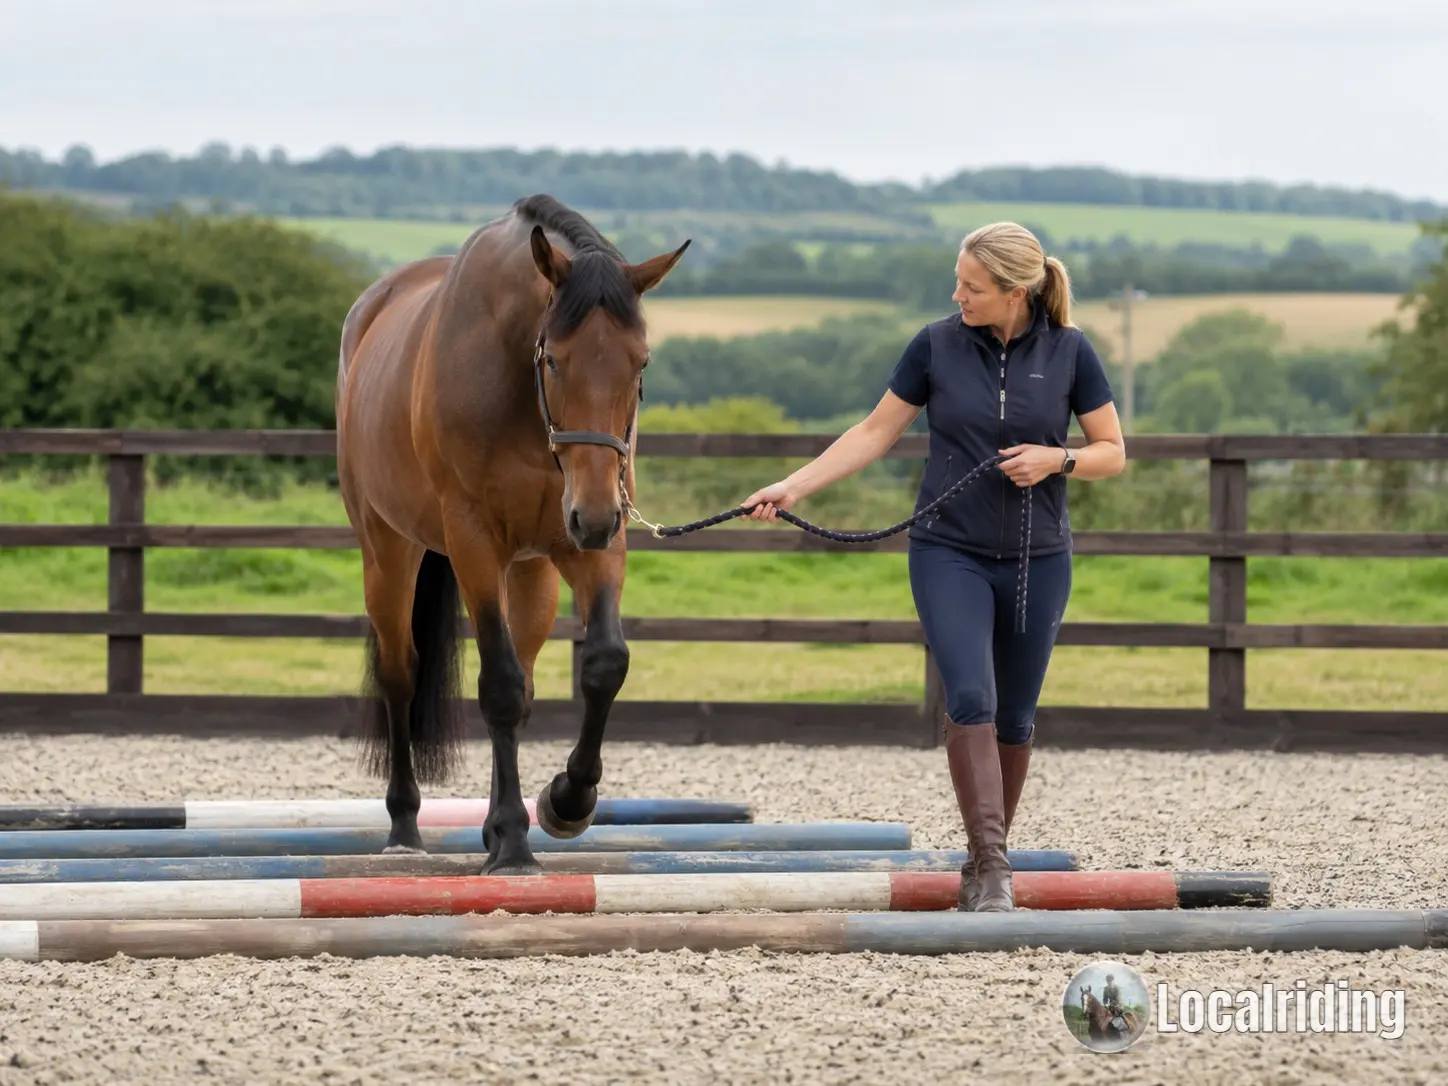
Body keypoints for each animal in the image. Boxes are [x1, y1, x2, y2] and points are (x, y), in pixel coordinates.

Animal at [334, 194, 690, 875]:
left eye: (641, 363)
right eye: (553, 359)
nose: (594, 516)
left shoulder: (588, 542)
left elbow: (602, 663)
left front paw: (566, 801)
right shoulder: (474, 542)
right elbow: (496, 687)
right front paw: (515, 845)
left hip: (532, 568)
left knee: (522, 678)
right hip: (388, 550)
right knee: (401, 673)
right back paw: (406, 826)